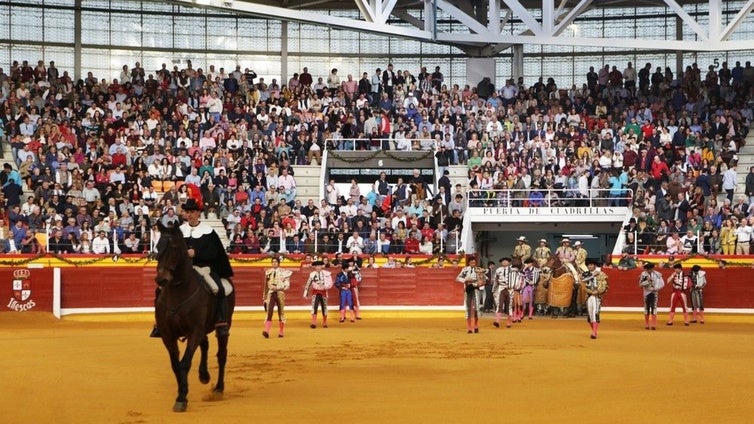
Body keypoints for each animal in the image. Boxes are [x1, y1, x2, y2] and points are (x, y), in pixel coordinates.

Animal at [153, 224, 234, 412]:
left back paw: (219, 389)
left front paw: (182, 397)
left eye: (175, 248)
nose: (161, 279)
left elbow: (185, 362)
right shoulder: (168, 335)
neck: (178, 291)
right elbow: (176, 365)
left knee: (222, 354)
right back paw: (204, 375)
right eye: (158, 247)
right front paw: (182, 393)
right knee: (205, 345)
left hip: (224, 326)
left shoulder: (194, 331)